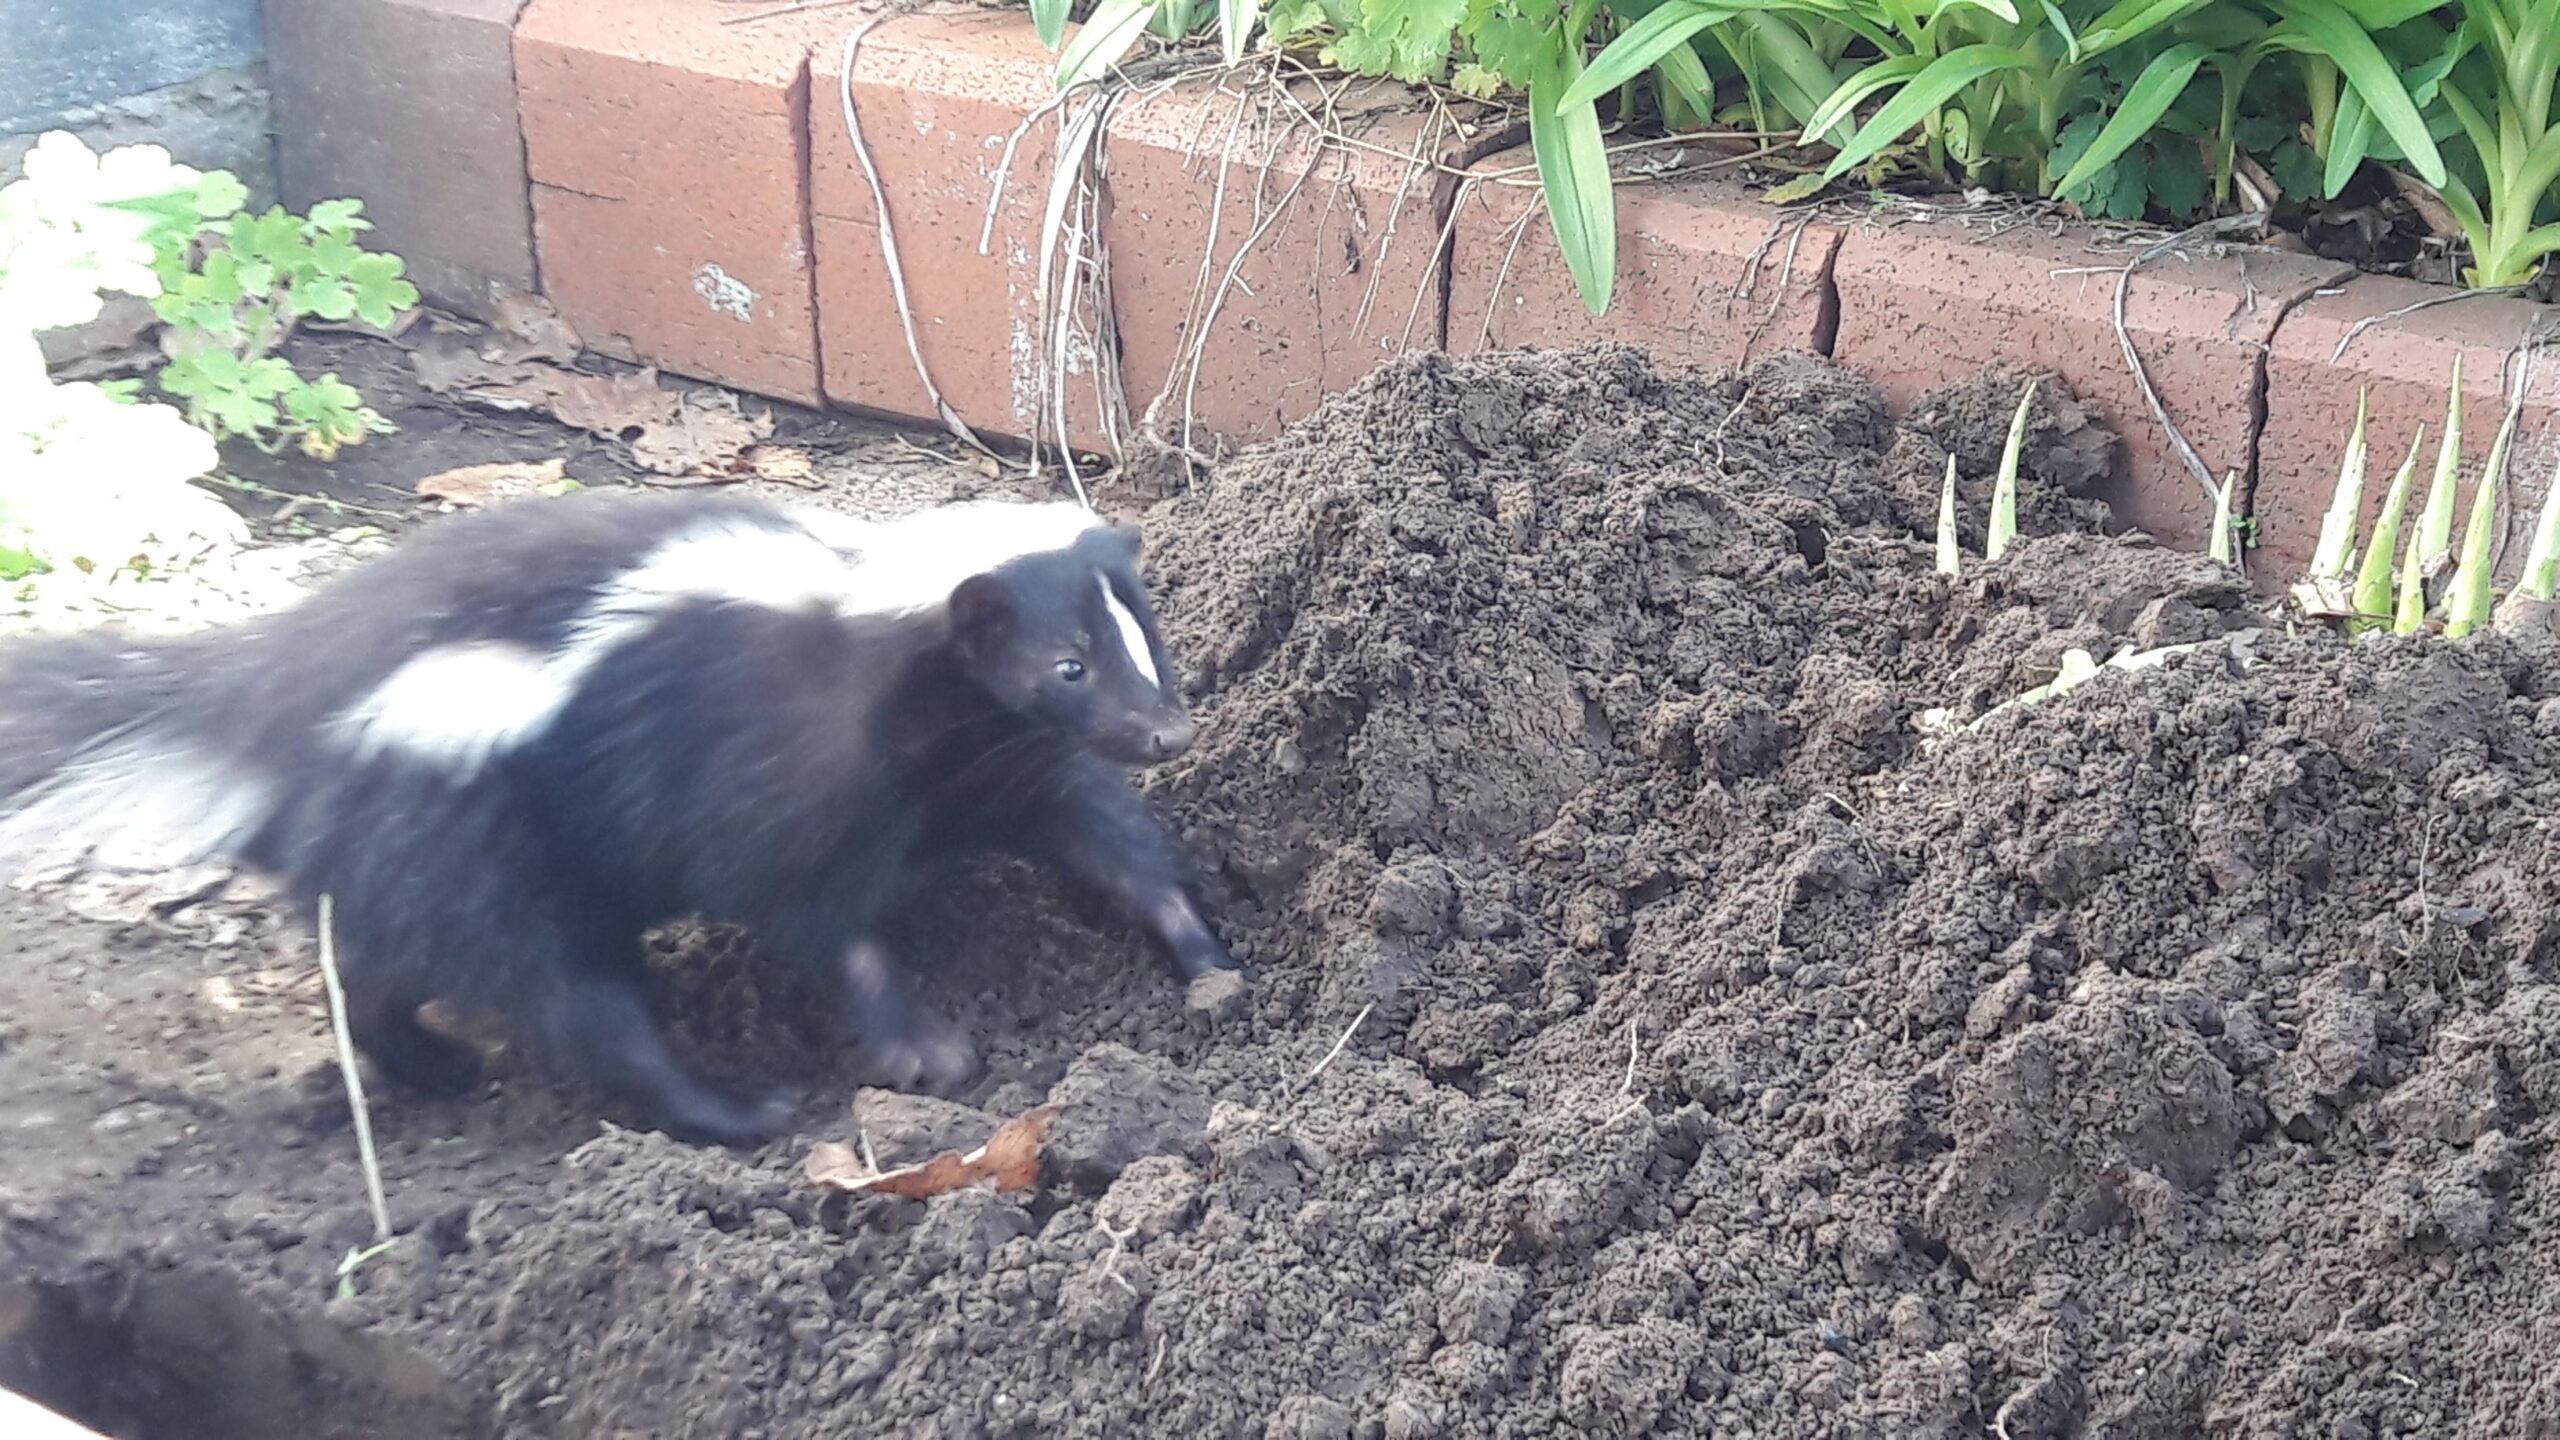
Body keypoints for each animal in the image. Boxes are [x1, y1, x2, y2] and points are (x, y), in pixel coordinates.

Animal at [0, 486, 1228, 1137]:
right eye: (1067, 666)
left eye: (1147, 642)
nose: (1168, 735)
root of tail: (273, 707)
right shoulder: (773, 768)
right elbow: (820, 915)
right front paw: (922, 1048)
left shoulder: (987, 762)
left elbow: (1095, 833)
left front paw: (1201, 950)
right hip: (475, 827)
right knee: (570, 998)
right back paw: (733, 1109)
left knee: (385, 966)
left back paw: (421, 1063)